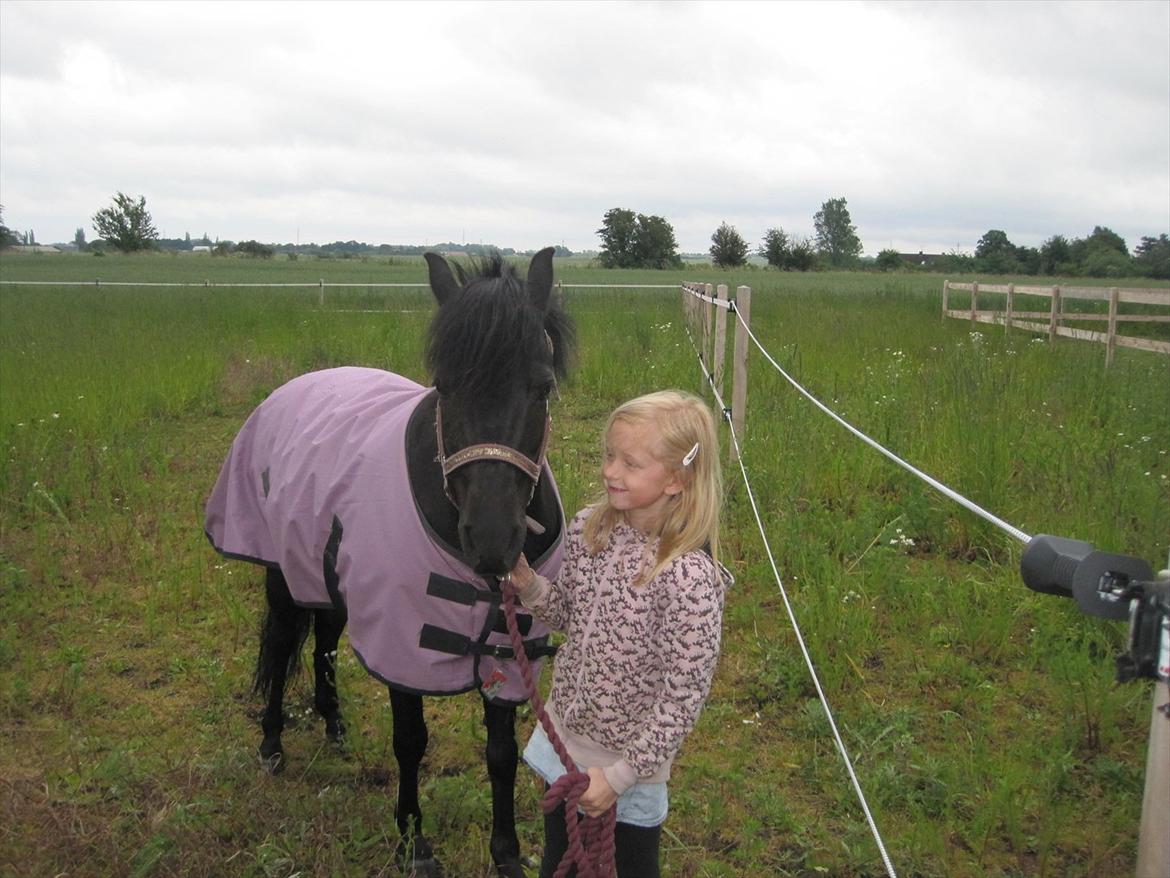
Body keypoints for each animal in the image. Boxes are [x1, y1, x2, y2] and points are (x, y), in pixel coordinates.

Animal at [204, 248, 575, 877]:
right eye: (445, 385)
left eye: (543, 385)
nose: (491, 540)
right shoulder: (403, 643)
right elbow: (411, 742)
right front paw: (414, 845)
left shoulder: (509, 647)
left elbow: (500, 753)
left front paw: (505, 853)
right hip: (282, 576)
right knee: (280, 645)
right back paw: (272, 744)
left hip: (326, 575)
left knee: (325, 642)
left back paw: (333, 726)